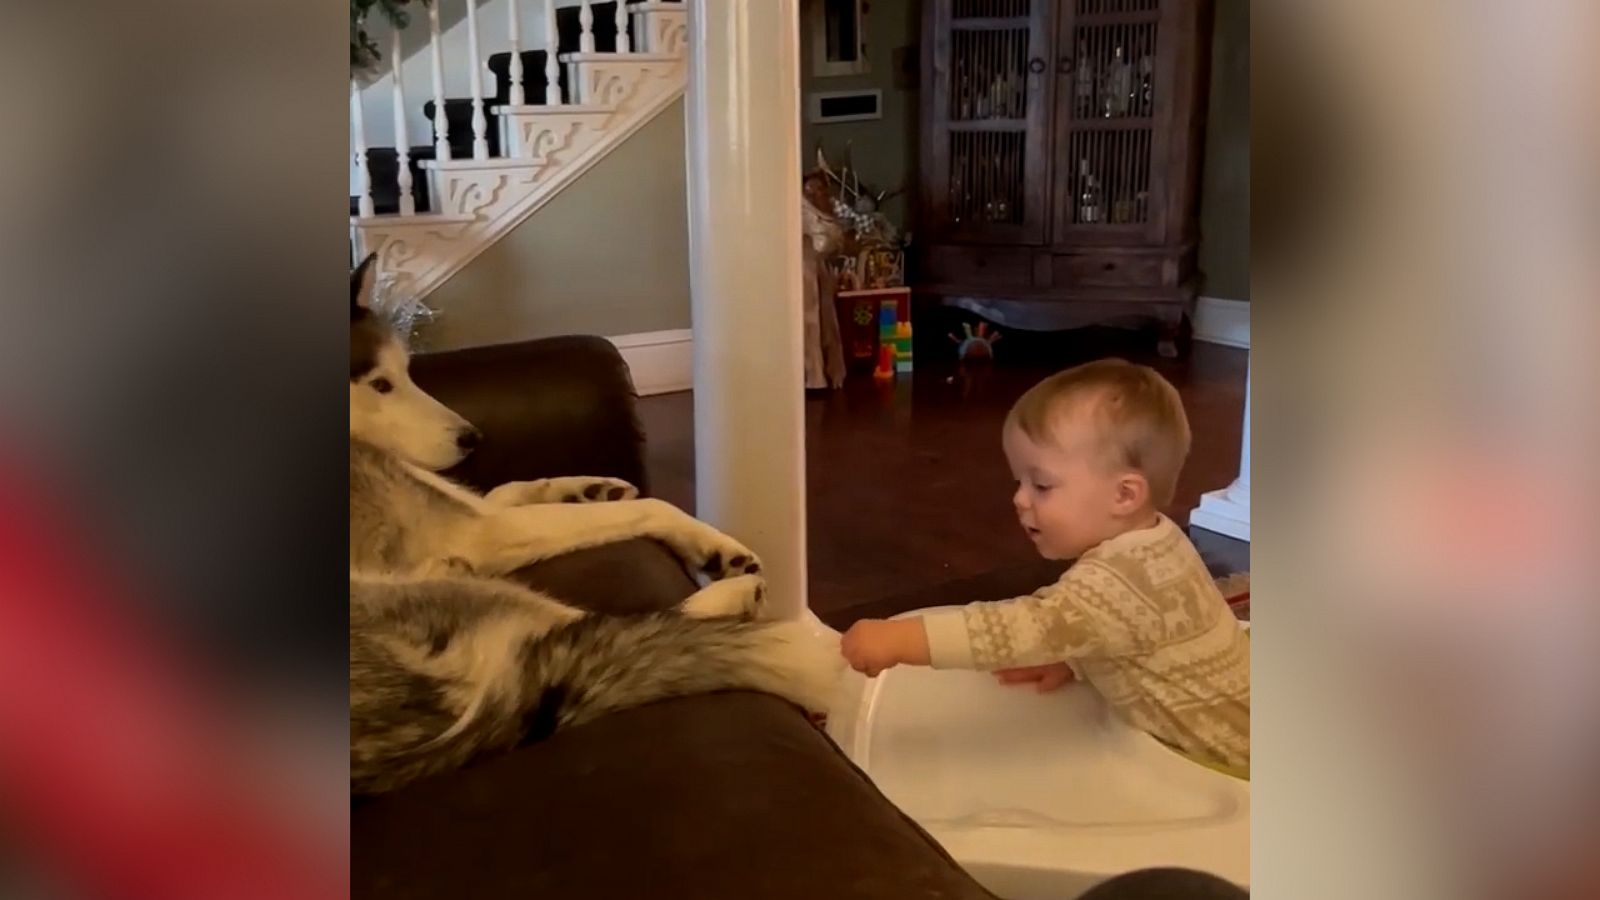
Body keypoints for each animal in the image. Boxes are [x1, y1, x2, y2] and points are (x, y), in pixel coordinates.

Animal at [348, 254, 838, 791]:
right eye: (380, 384)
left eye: (408, 372)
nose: (473, 438)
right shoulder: (476, 532)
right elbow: (648, 508)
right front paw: (713, 545)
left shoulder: (476, 510)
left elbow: (507, 491)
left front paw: (591, 487)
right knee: (616, 628)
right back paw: (737, 597)